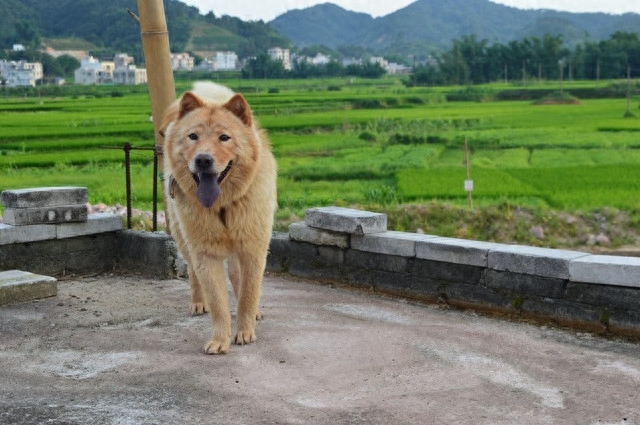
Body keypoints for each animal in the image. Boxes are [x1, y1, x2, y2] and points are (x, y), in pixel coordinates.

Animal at [161, 81, 276, 352]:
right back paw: (197, 302)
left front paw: (245, 331)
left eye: (224, 137)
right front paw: (220, 340)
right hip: (183, 240)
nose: (203, 160)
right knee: (193, 273)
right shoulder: (206, 254)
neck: (223, 206)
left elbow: (248, 293)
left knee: (237, 277)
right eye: (193, 136)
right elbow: (217, 303)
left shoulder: (253, 249)